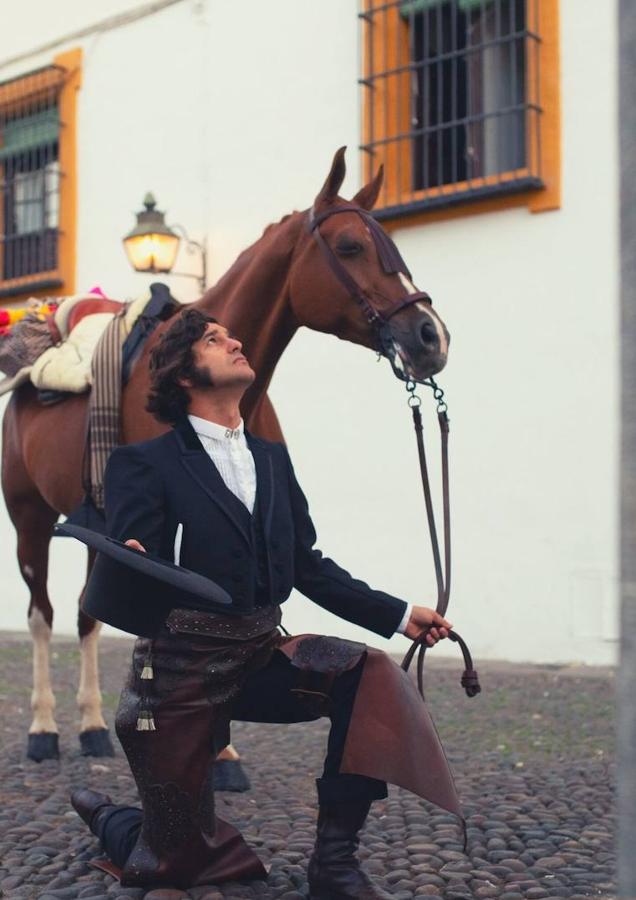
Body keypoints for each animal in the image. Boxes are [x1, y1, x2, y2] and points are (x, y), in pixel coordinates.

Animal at [1, 148, 448, 760]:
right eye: (350, 246)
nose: (431, 336)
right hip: (30, 519)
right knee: (42, 616)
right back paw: (44, 728)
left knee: (86, 616)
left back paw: (91, 726)